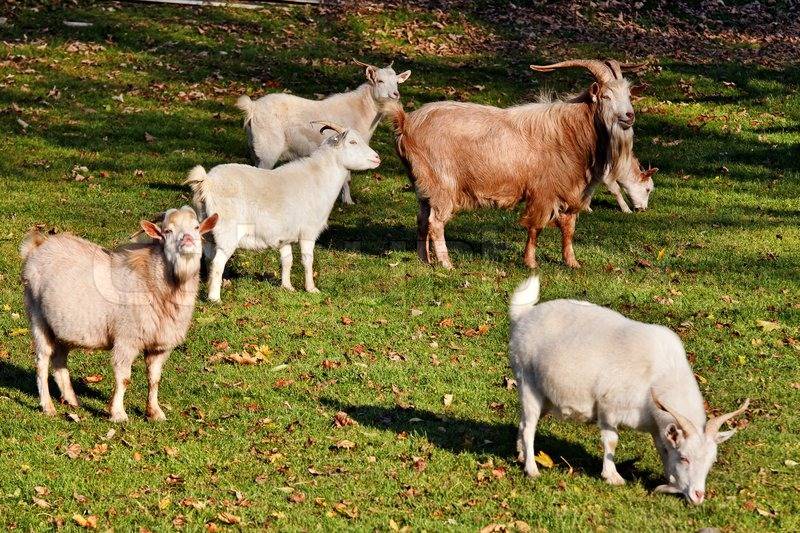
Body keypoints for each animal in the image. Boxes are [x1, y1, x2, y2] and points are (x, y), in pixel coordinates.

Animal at [20, 206, 218, 422]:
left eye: (196, 227)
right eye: (167, 231)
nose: (188, 240)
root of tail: (37, 246)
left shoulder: (160, 346)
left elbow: (155, 379)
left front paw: (155, 412)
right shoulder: (126, 339)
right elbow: (123, 378)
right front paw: (118, 413)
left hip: (63, 326)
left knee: (59, 359)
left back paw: (72, 400)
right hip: (37, 316)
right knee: (42, 361)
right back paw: (47, 406)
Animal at [186, 121, 381, 302]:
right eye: (353, 142)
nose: (377, 158)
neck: (319, 178)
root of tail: (206, 182)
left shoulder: (284, 235)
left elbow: (287, 261)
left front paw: (287, 287)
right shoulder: (308, 232)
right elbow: (307, 260)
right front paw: (311, 288)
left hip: (207, 232)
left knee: (208, 259)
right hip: (227, 233)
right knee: (218, 263)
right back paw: (214, 298)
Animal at [236, 59, 410, 205]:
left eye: (397, 82)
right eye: (380, 81)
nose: (395, 94)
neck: (362, 109)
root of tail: (253, 108)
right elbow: (347, 178)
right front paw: (348, 202)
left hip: (255, 149)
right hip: (268, 151)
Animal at [390, 59, 646, 269]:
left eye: (628, 95)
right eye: (606, 96)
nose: (629, 115)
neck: (570, 130)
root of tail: (406, 123)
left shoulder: (571, 191)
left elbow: (569, 228)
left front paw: (572, 262)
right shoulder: (543, 191)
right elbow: (535, 227)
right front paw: (531, 263)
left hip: (423, 185)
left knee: (422, 218)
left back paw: (424, 259)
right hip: (442, 183)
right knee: (435, 222)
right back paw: (446, 264)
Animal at [508, 275, 750, 505]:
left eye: (711, 462)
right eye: (684, 458)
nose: (698, 495)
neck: (660, 373)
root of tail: (524, 315)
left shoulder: (656, 426)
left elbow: (662, 449)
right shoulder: (608, 408)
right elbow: (611, 441)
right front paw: (612, 477)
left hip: (544, 396)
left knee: (523, 422)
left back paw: (520, 455)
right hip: (527, 381)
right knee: (529, 427)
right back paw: (531, 469)